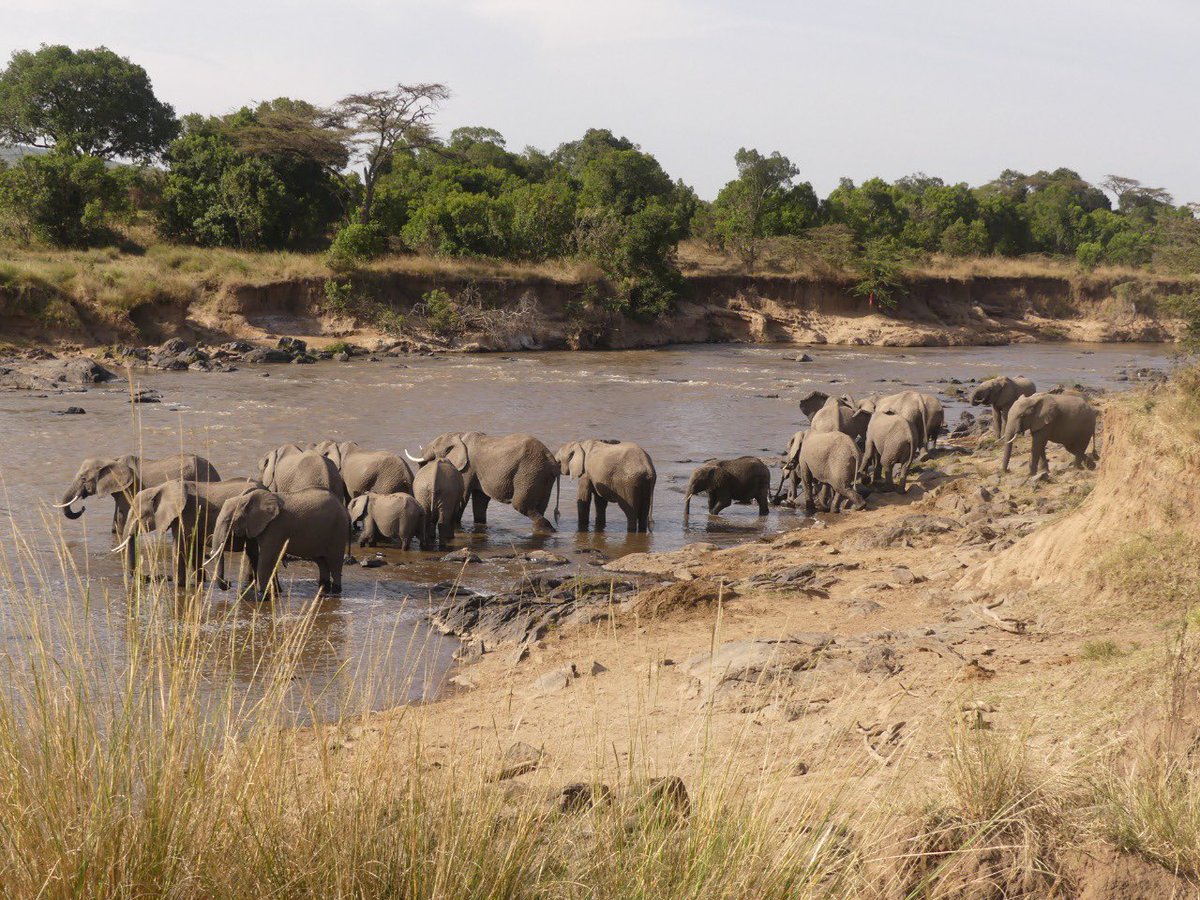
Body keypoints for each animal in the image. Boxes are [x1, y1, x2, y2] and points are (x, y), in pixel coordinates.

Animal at [114, 478, 260, 589]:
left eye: (139, 516)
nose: (164, 576)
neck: (159, 489)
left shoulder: (185, 514)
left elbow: (180, 546)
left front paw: (179, 585)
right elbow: (195, 548)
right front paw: (199, 583)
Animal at [207, 487, 349, 600]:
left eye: (229, 521)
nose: (229, 583)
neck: (246, 499)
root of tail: (342, 506)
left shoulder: (275, 526)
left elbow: (266, 557)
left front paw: (261, 596)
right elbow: (260, 556)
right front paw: (271, 593)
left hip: (338, 531)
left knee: (335, 561)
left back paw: (335, 592)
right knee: (321, 561)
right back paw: (323, 589)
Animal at [406, 432, 558, 534]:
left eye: (433, 447)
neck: (459, 435)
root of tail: (552, 460)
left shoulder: (467, 468)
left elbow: (463, 497)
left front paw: (456, 525)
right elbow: (480, 500)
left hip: (529, 472)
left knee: (520, 504)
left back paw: (548, 529)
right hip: (541, 476)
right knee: (540, 506)